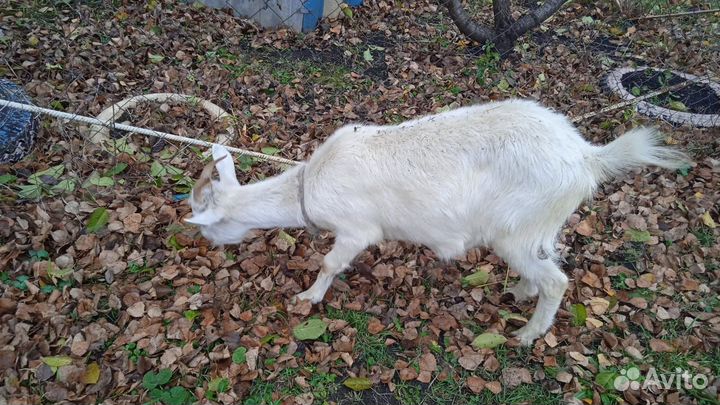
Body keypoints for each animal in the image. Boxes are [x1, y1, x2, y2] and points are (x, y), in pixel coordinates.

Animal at [185, 99, 689, 345]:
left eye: (208, 223)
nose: (208, 246)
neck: (312, 184)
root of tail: (586, 157)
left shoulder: (357, 229)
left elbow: (330, 263)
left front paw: (308, 297)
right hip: (535, 227)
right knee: (541, 268)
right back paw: (519, 292)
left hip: (516, 227)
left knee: (556, 281)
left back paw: (527, 334)